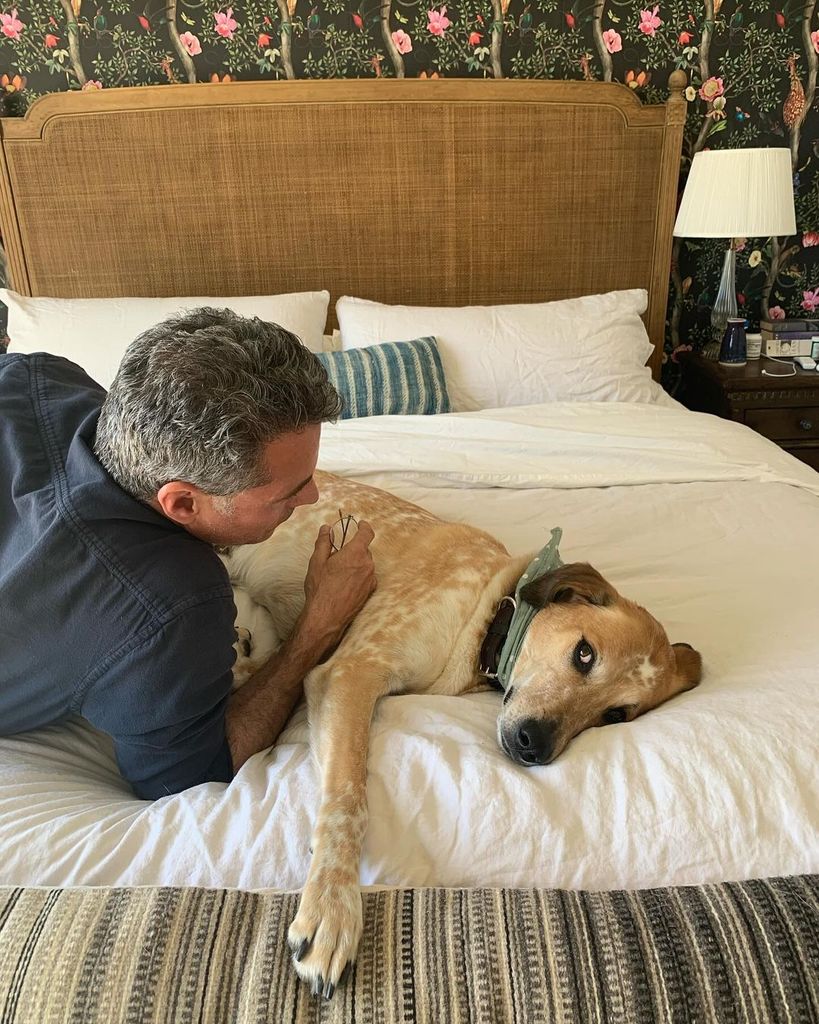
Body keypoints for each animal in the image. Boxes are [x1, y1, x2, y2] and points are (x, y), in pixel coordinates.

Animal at [221, 471, 700, 999]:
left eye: (615, 715)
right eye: (584, 654)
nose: (535, 745)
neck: (489, 615)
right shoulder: (351, 671)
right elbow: (349, 798)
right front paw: (331, 908)